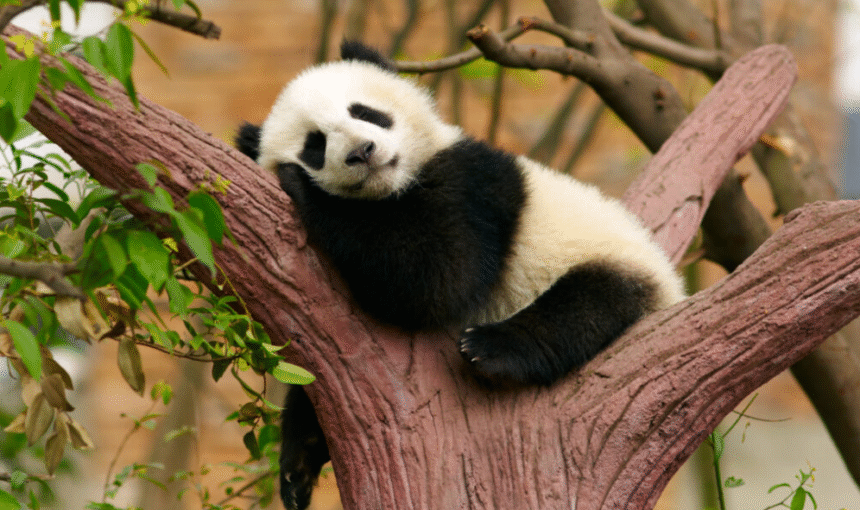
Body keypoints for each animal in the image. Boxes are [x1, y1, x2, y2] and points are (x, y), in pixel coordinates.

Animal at [236, 41, 685, 510]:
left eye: (365, 112)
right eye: (315, 144)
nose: (362, 151)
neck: (392, 188)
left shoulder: (472, 184)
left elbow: (438, 277)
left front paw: (302, 187)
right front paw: (298, 461)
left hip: (610, 259)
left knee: (587, 305)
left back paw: (491, 348)